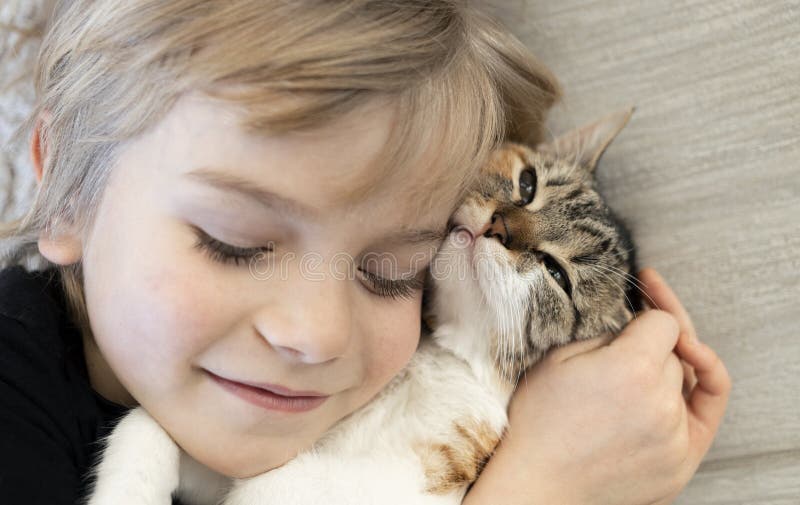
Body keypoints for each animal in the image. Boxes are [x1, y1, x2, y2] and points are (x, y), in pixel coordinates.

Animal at [84, 107, 640, 504]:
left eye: (557, 275)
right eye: (528, 184)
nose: (498, 225)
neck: (424, 362)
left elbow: (270, 488)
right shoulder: (238, 450)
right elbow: (151, 425)